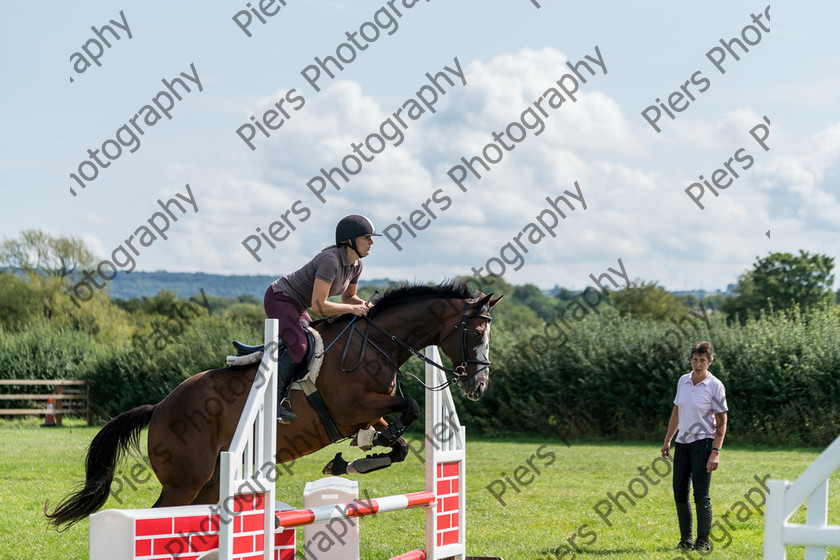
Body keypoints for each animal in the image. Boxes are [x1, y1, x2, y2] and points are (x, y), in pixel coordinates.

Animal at [46, 284, 502, 528]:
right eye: (477, 332)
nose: (479, 385)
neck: (376, 343)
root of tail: (159, 408)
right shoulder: (351, 407)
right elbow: (408, 407)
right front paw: (361, 451)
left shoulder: (369, 408)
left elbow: (400, 440)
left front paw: (353, 459)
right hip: (184, 480)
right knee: (159, 514)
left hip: (209, 481)